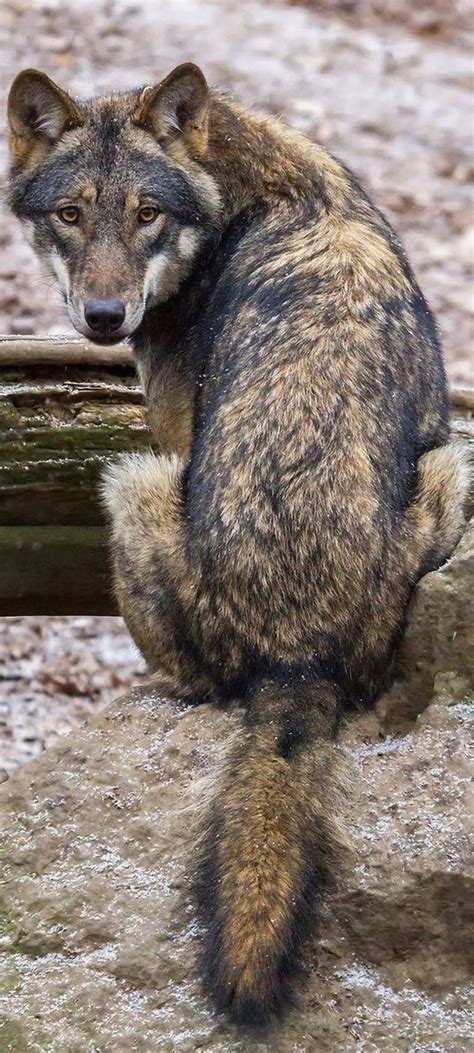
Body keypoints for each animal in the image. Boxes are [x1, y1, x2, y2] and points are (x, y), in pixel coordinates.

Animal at [7, 63, 469, 1028]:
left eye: (146, 213)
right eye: (71, 213)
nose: (104, 317)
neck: (240, 195)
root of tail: (294, 663)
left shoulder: (174, 435)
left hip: (131, 481)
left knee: (190, 684)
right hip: (453, 469)